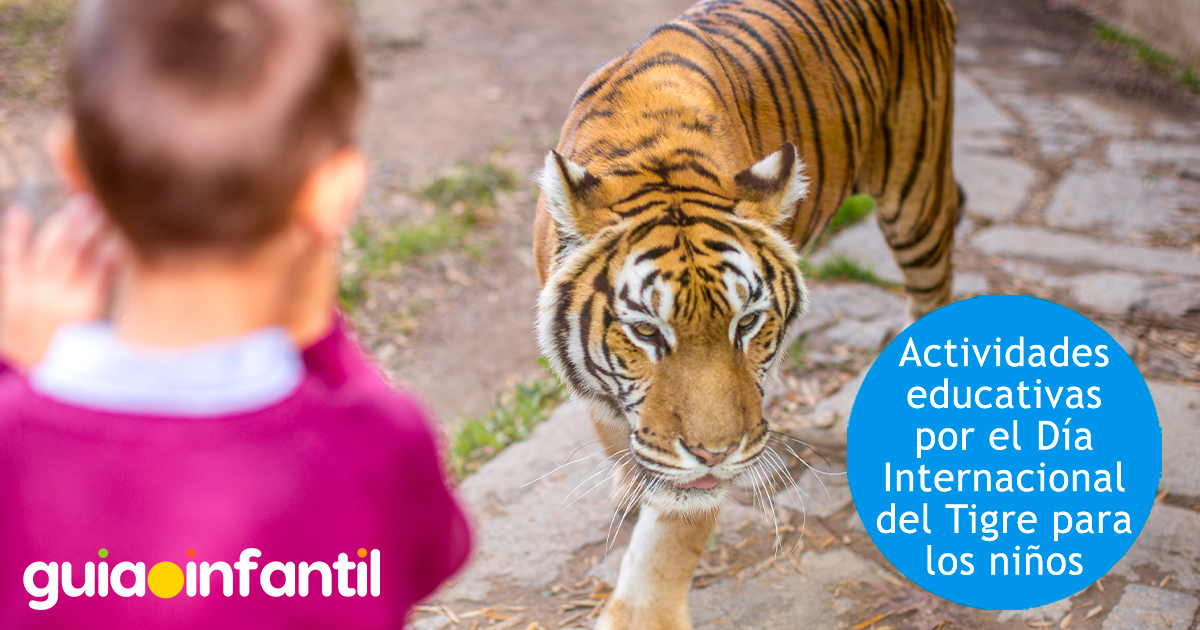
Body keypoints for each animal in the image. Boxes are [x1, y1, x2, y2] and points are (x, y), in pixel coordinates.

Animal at [532, 0, 959, 627]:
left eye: (747, 323)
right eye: (645, 331)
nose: (716, 453)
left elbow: (673, 528)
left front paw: (642, 612)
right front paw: (628, 481)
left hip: (915, 190)